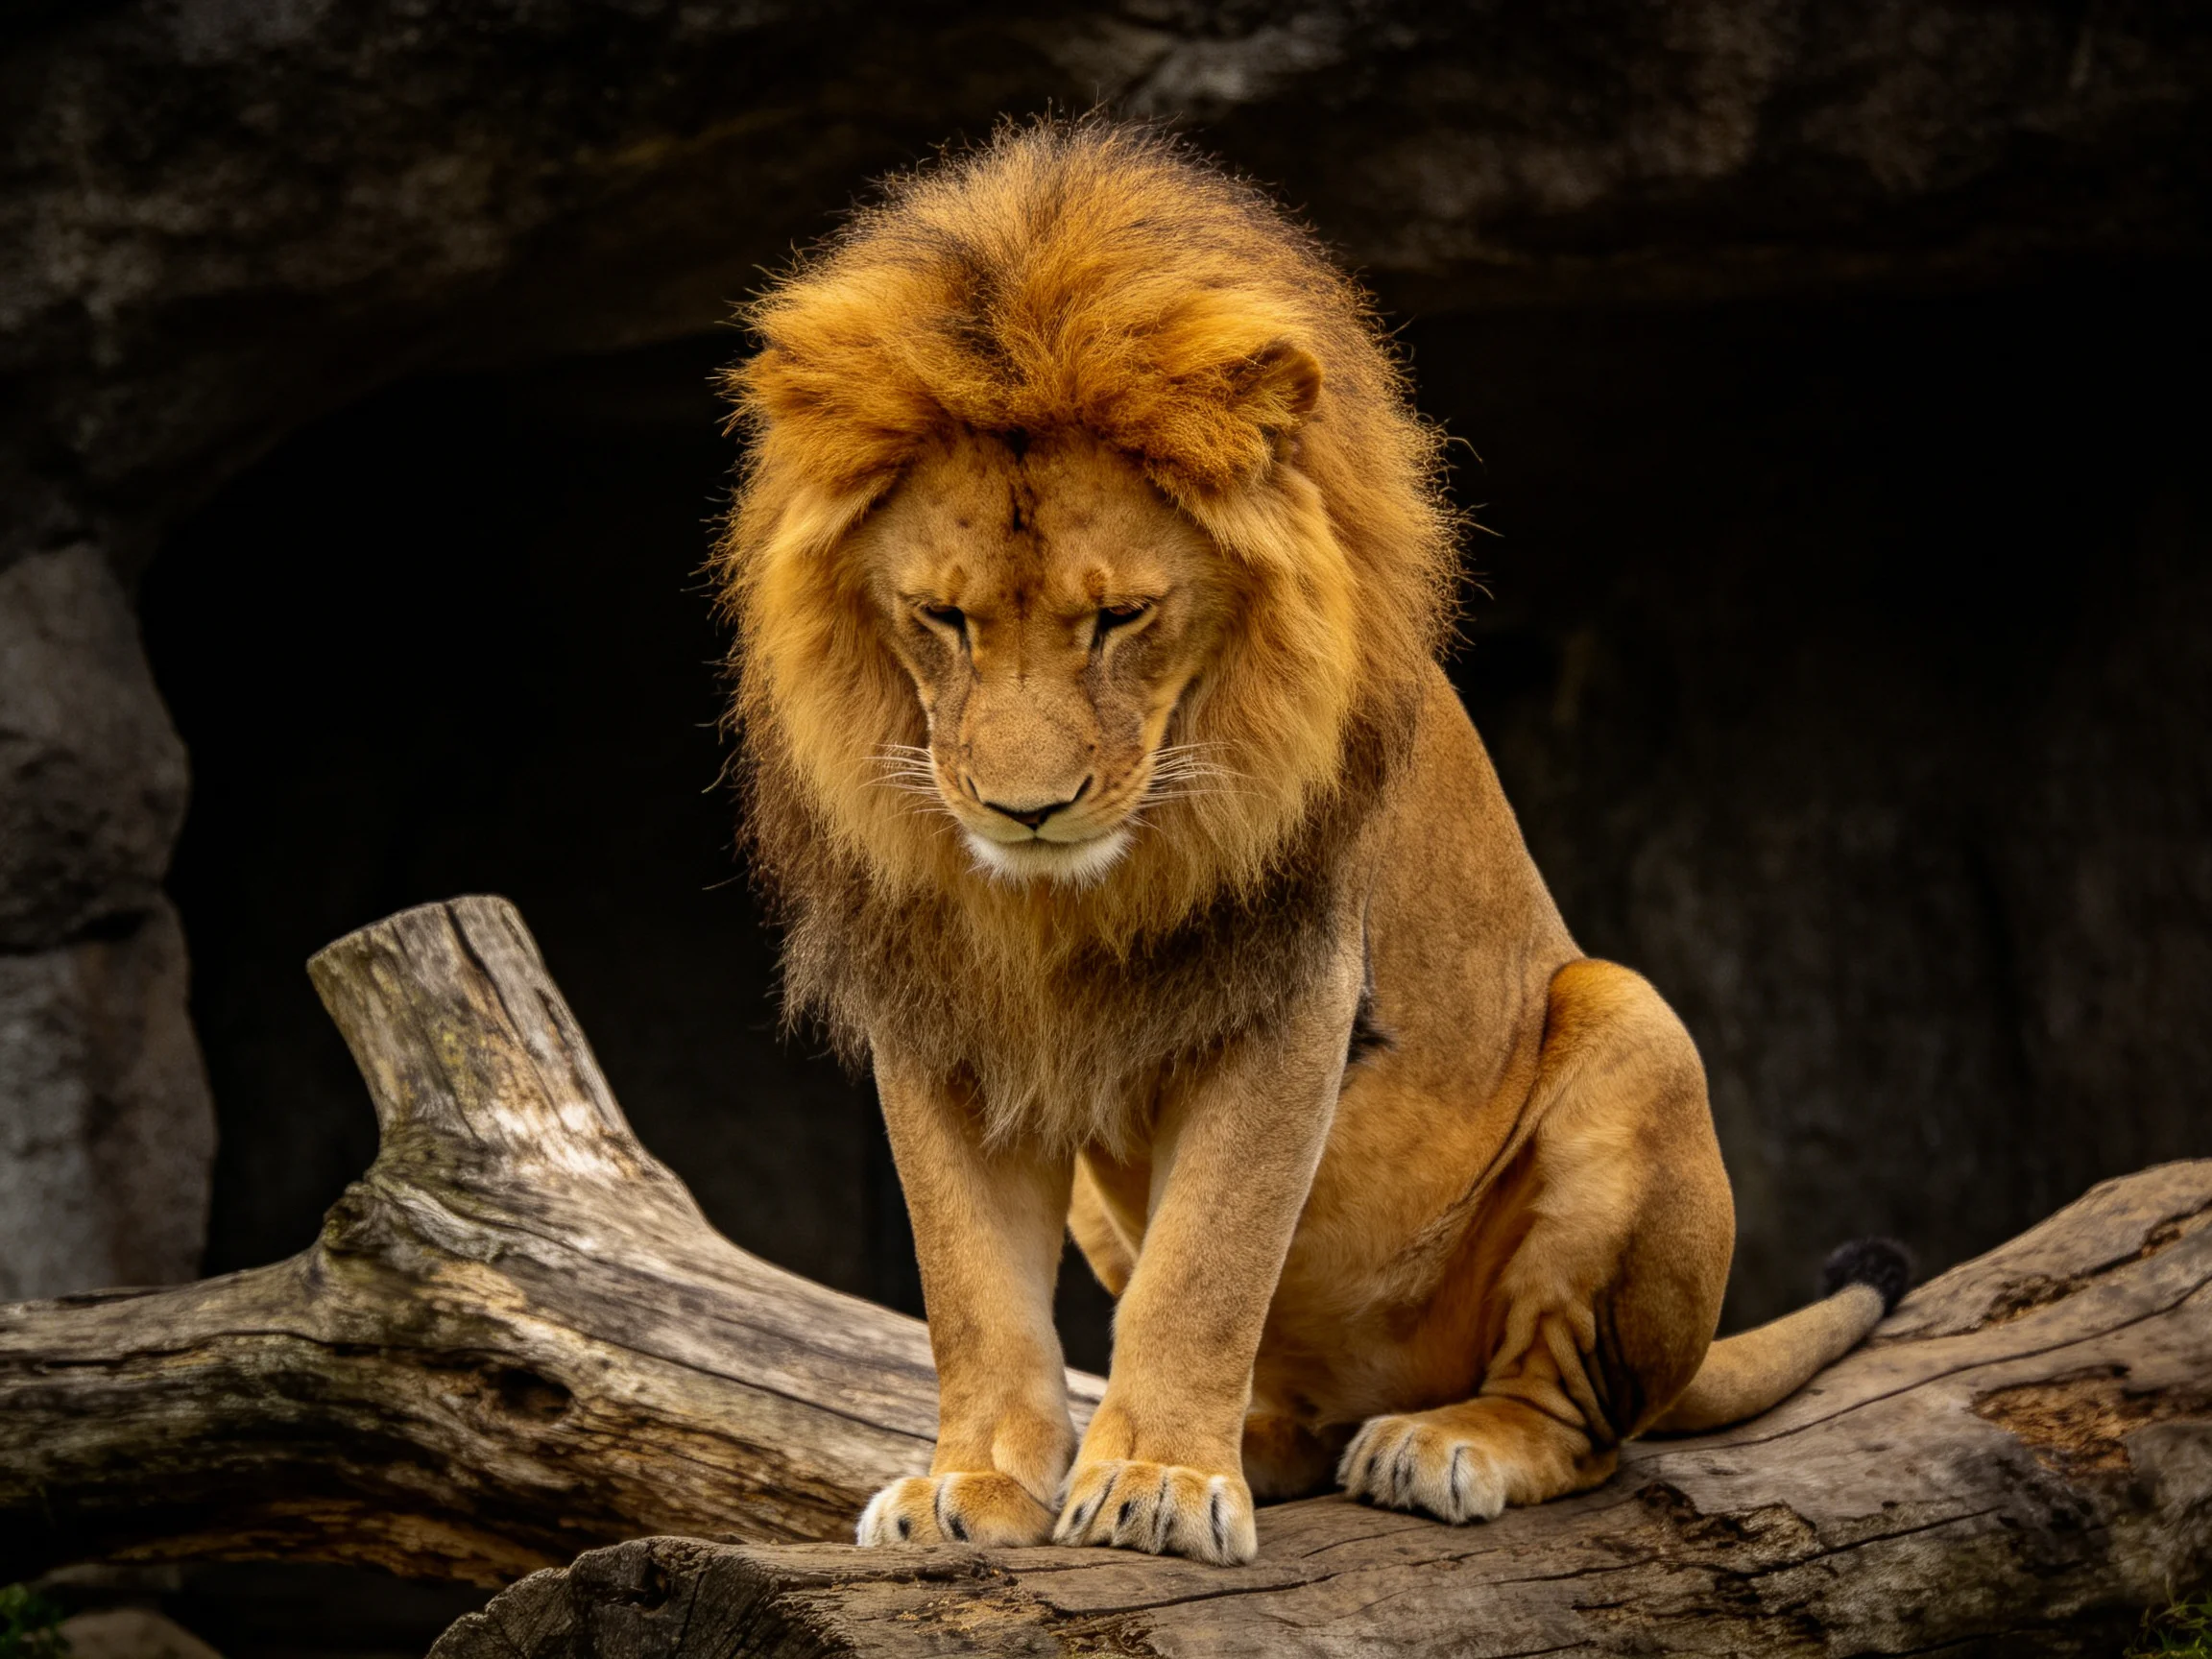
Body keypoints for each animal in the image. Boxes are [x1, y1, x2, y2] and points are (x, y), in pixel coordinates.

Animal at [714, 118, 1909, 1566]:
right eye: (943, 619)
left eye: (1120, 620)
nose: (1025, 808)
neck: (1055, 902)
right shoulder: (938, 1007)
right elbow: (971, 1285)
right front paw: (976, 1484)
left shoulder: (1292, 989)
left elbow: (1210, 1261)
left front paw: (1159, 1482)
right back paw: (1271, 1440)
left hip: (1632, 1030)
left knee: (1584, 1422)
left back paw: (1444, 1444)